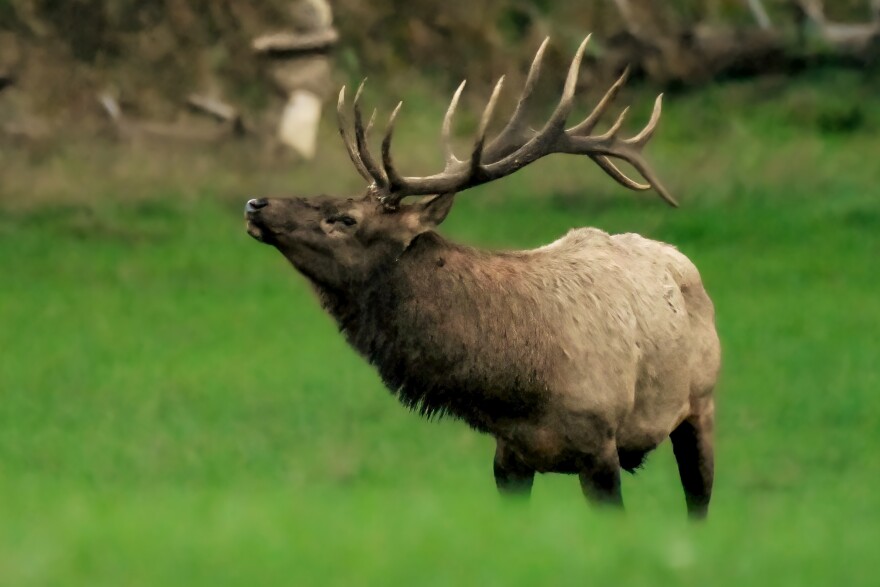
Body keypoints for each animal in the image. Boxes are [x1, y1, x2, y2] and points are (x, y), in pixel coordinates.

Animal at [244, 36, 720, 516]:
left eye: (345, 219)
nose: (255, 204)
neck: (516, 391)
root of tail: (679, 258)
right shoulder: (508, 456)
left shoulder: (600, 444)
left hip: (701, 403)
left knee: (698, 504)